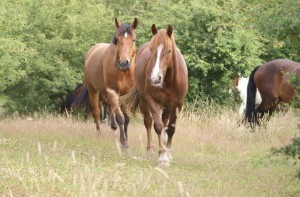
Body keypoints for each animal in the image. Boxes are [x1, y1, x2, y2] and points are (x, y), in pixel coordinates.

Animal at [77, 18, 138, 148]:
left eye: (133, 39)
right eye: (118, 39)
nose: (124, 63)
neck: (123, 72)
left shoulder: (126, 95)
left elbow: (127, 118)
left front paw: (126, 138)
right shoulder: (113, 92)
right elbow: (121, 118)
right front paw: (124, 143)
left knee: (110, 110)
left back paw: (113, 129)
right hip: (93, 91)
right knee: (97, 113)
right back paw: (100, 134)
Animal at [119, 24, 188, 166]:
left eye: (169, 50)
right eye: (151, 49)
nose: (155, 78)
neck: (169, 80)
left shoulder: (178, 103)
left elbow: (171, 128)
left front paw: (168, 154)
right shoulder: (152, 100)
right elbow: (158, 126)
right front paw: (162, 157)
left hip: (168, 105)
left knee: (165, 122)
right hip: (144, 101)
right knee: (148, 122)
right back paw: (150, 150)